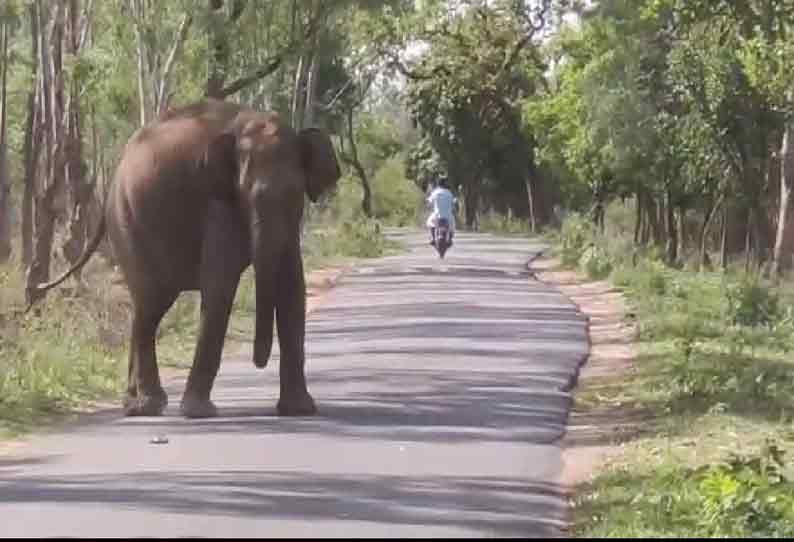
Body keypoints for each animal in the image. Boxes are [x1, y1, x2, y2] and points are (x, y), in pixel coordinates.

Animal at [31, 99, 340, 420]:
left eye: (296, 195)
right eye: (247, 195)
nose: (258, 363)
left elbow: (292, 286)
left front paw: (300, 410)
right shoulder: (218, 201)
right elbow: (220, 287)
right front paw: (198, 413)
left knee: (147, 308)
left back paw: (134, 404)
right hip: (127, 223)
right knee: (149, 305)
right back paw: (148, 406)